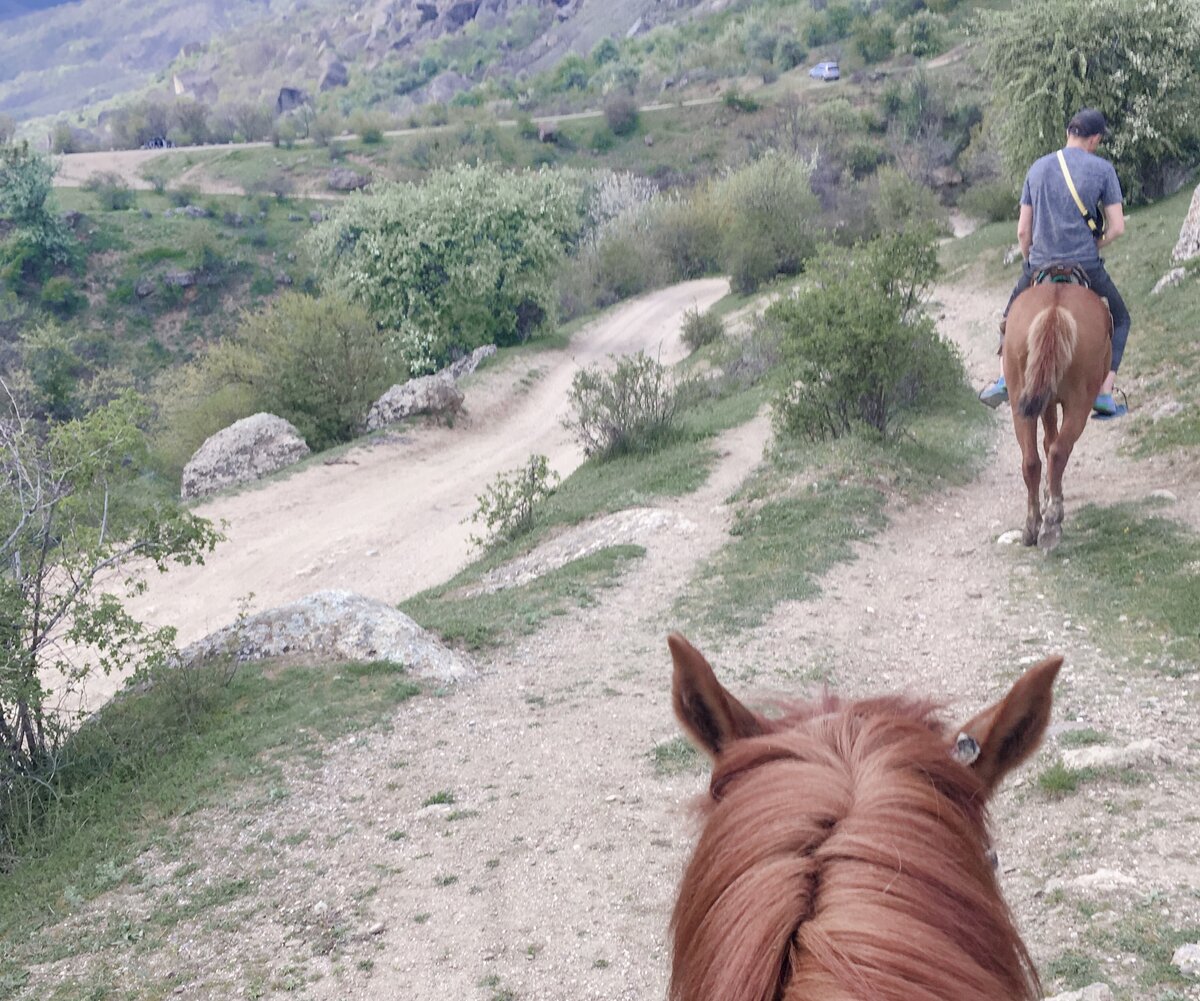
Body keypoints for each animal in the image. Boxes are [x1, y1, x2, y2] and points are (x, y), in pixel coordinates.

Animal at [998, 277, 1108, 549]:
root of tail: (1054, 310)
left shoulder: (1045, 401)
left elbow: (1047, 441)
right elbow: (1052, 443)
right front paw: (1051, 495)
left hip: (1020, 400)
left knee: (1031, 460)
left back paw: (1032, 526)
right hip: (1080, 402)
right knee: (1059, 451)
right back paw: (1052, 523)